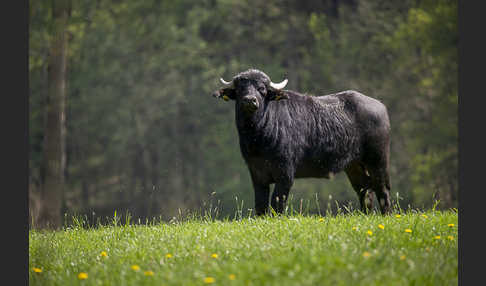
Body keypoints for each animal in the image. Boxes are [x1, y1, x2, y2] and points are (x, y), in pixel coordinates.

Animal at [212, 69, 392, 216]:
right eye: (240, 89)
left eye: (261, 89)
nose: (250, 100)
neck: (259, 137)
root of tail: (381, 106)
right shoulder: (256, 173)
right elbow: (261, 205)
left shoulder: (285, 174)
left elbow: (277, 203)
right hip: (354, 165)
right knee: (365, 190)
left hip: (378, 160)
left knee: (382, 189)